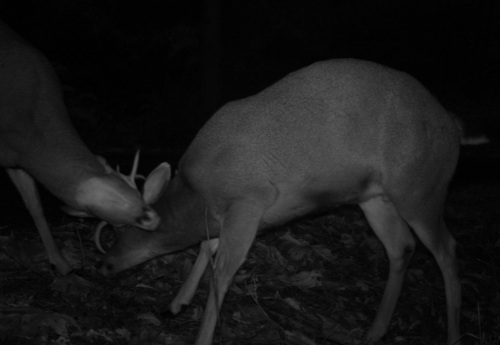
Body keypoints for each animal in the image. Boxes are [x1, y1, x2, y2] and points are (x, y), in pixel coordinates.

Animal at [0, 20, 159, 276]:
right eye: (119, 224)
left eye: (138, 194)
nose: (152, 218)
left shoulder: (17, 158)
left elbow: (35, 205)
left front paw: (61, 264)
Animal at [96, 57, 460, 342]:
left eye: (122, 229)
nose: (105, 265)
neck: (198, 193)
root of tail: (453, 126)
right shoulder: (227, 212)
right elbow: (206, 247)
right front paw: (176, 304)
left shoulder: (250, 199)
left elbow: (222, 272)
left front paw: (201, 336)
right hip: (374, 196)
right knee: (402, 246)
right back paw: (375, 331)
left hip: (421, 187)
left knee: (446, 248)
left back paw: (452, 335)